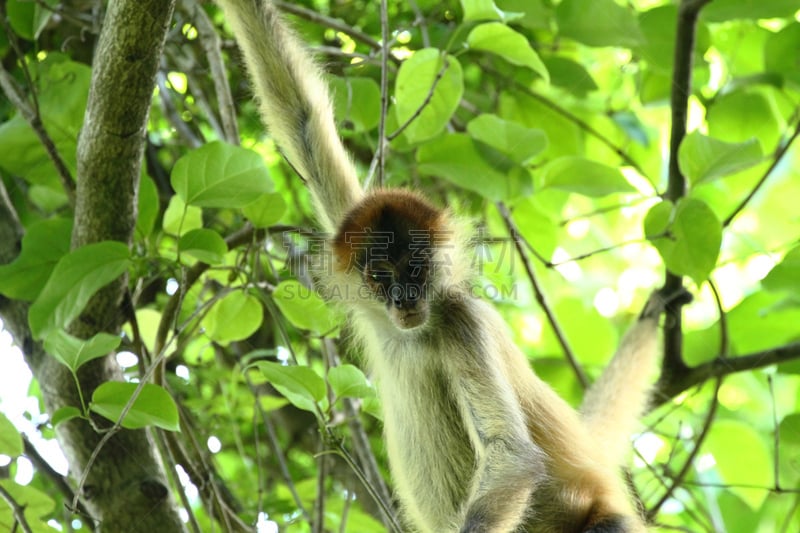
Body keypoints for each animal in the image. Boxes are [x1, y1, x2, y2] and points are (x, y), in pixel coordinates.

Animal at [216, 2, 692, 528]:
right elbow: (300, 116)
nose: (404, 300)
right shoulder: (353, 230)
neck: (413, 334)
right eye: (381, 276)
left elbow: (511, 455)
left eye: (416, 270)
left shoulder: (465, 322)